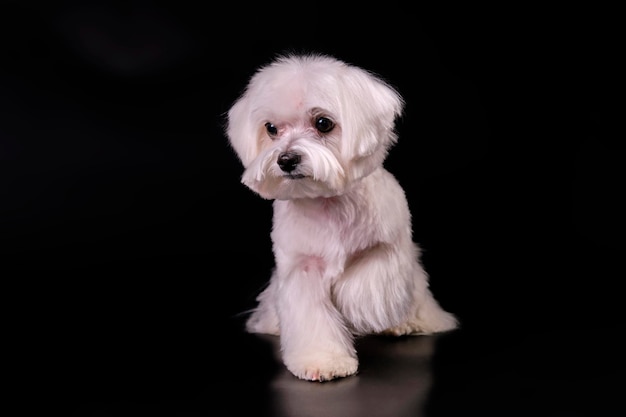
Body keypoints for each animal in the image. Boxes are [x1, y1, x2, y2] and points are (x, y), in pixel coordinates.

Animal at [225, 52, 458, 380]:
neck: (327, 201)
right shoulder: (301, 267)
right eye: (271, 128)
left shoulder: (392, 247)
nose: (286, 159)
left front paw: (354, 305)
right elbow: (312, 314)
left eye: (323, 123)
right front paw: (323, 360)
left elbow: (367, 277)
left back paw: (409, 322)